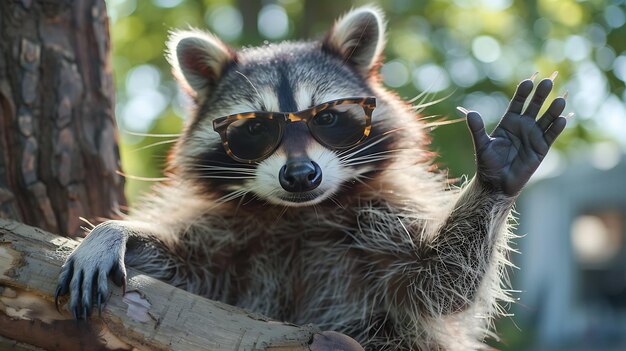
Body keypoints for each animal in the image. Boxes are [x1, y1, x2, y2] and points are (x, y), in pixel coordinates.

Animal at [56, 5, 568, 351]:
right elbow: (188, 274)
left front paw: (495, 179)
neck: (299, 216)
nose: (300, 175)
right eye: (256, 129)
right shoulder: (231, 238)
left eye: (328, 118)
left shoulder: (383, 215)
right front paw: (119, 231)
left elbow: (441, 281)